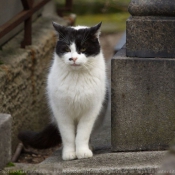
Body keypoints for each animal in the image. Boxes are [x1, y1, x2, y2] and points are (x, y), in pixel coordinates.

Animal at [19, 21, 109, 160]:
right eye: (67, 49)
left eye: (83, 48)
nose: (73, 58)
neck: (77, 78)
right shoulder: (61, 112)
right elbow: (68, 136)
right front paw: (69, 153)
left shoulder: (90, 110)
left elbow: (83, 134)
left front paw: (82, 152)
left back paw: (89, 147)